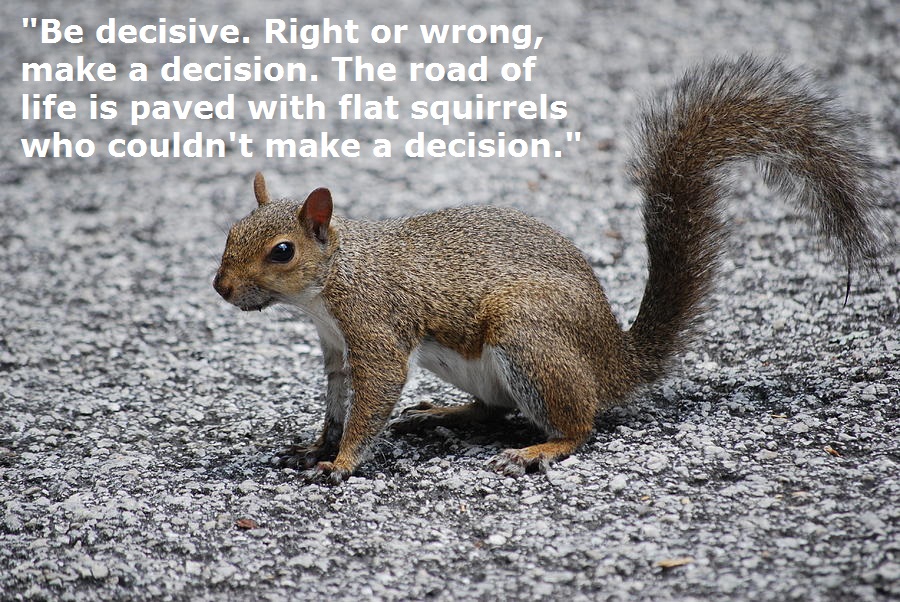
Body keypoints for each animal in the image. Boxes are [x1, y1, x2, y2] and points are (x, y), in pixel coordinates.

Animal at [214, 55, 885, 483]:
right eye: (229, 233)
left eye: (281, 251)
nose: (221, 288)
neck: (331, 283)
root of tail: (614, 363)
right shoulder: (335, 346)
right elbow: (336, 399)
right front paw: (314, 447)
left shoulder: (373, 324)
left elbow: (373, 393)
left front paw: (344, 463)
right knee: (494, 409)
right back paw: (444, 413)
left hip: (527, 333)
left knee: (580, 422)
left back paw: (541, 448)